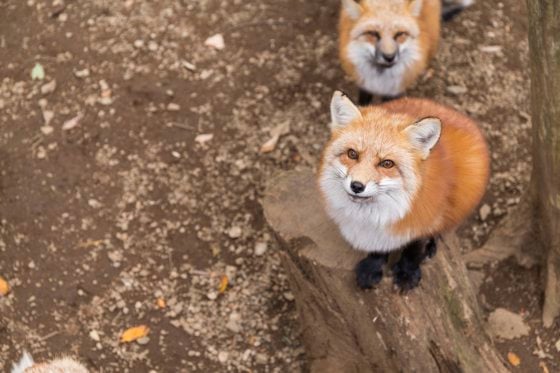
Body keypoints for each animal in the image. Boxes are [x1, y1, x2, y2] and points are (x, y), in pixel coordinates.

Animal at [320, 91, 490, 290]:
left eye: (387, 163)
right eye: (352, 154)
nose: (357, 186)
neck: (371, 216)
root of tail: (449, 109)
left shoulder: (425, 220)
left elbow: (413, 250)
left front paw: (407, 273)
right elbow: (377, 249)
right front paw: (372, 267)